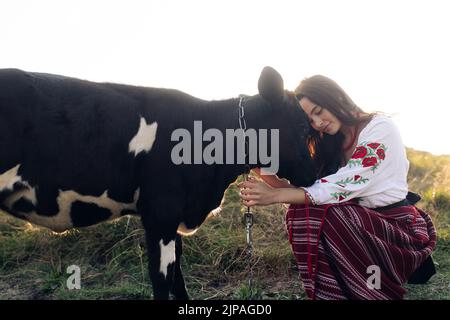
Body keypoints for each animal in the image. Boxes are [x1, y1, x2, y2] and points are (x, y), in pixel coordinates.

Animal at [0, 66, 316, 298]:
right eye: (303, 128)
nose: (317, 174)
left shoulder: (174, 218)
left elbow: (178, 278)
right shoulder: (160, 215)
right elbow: (164, 280)